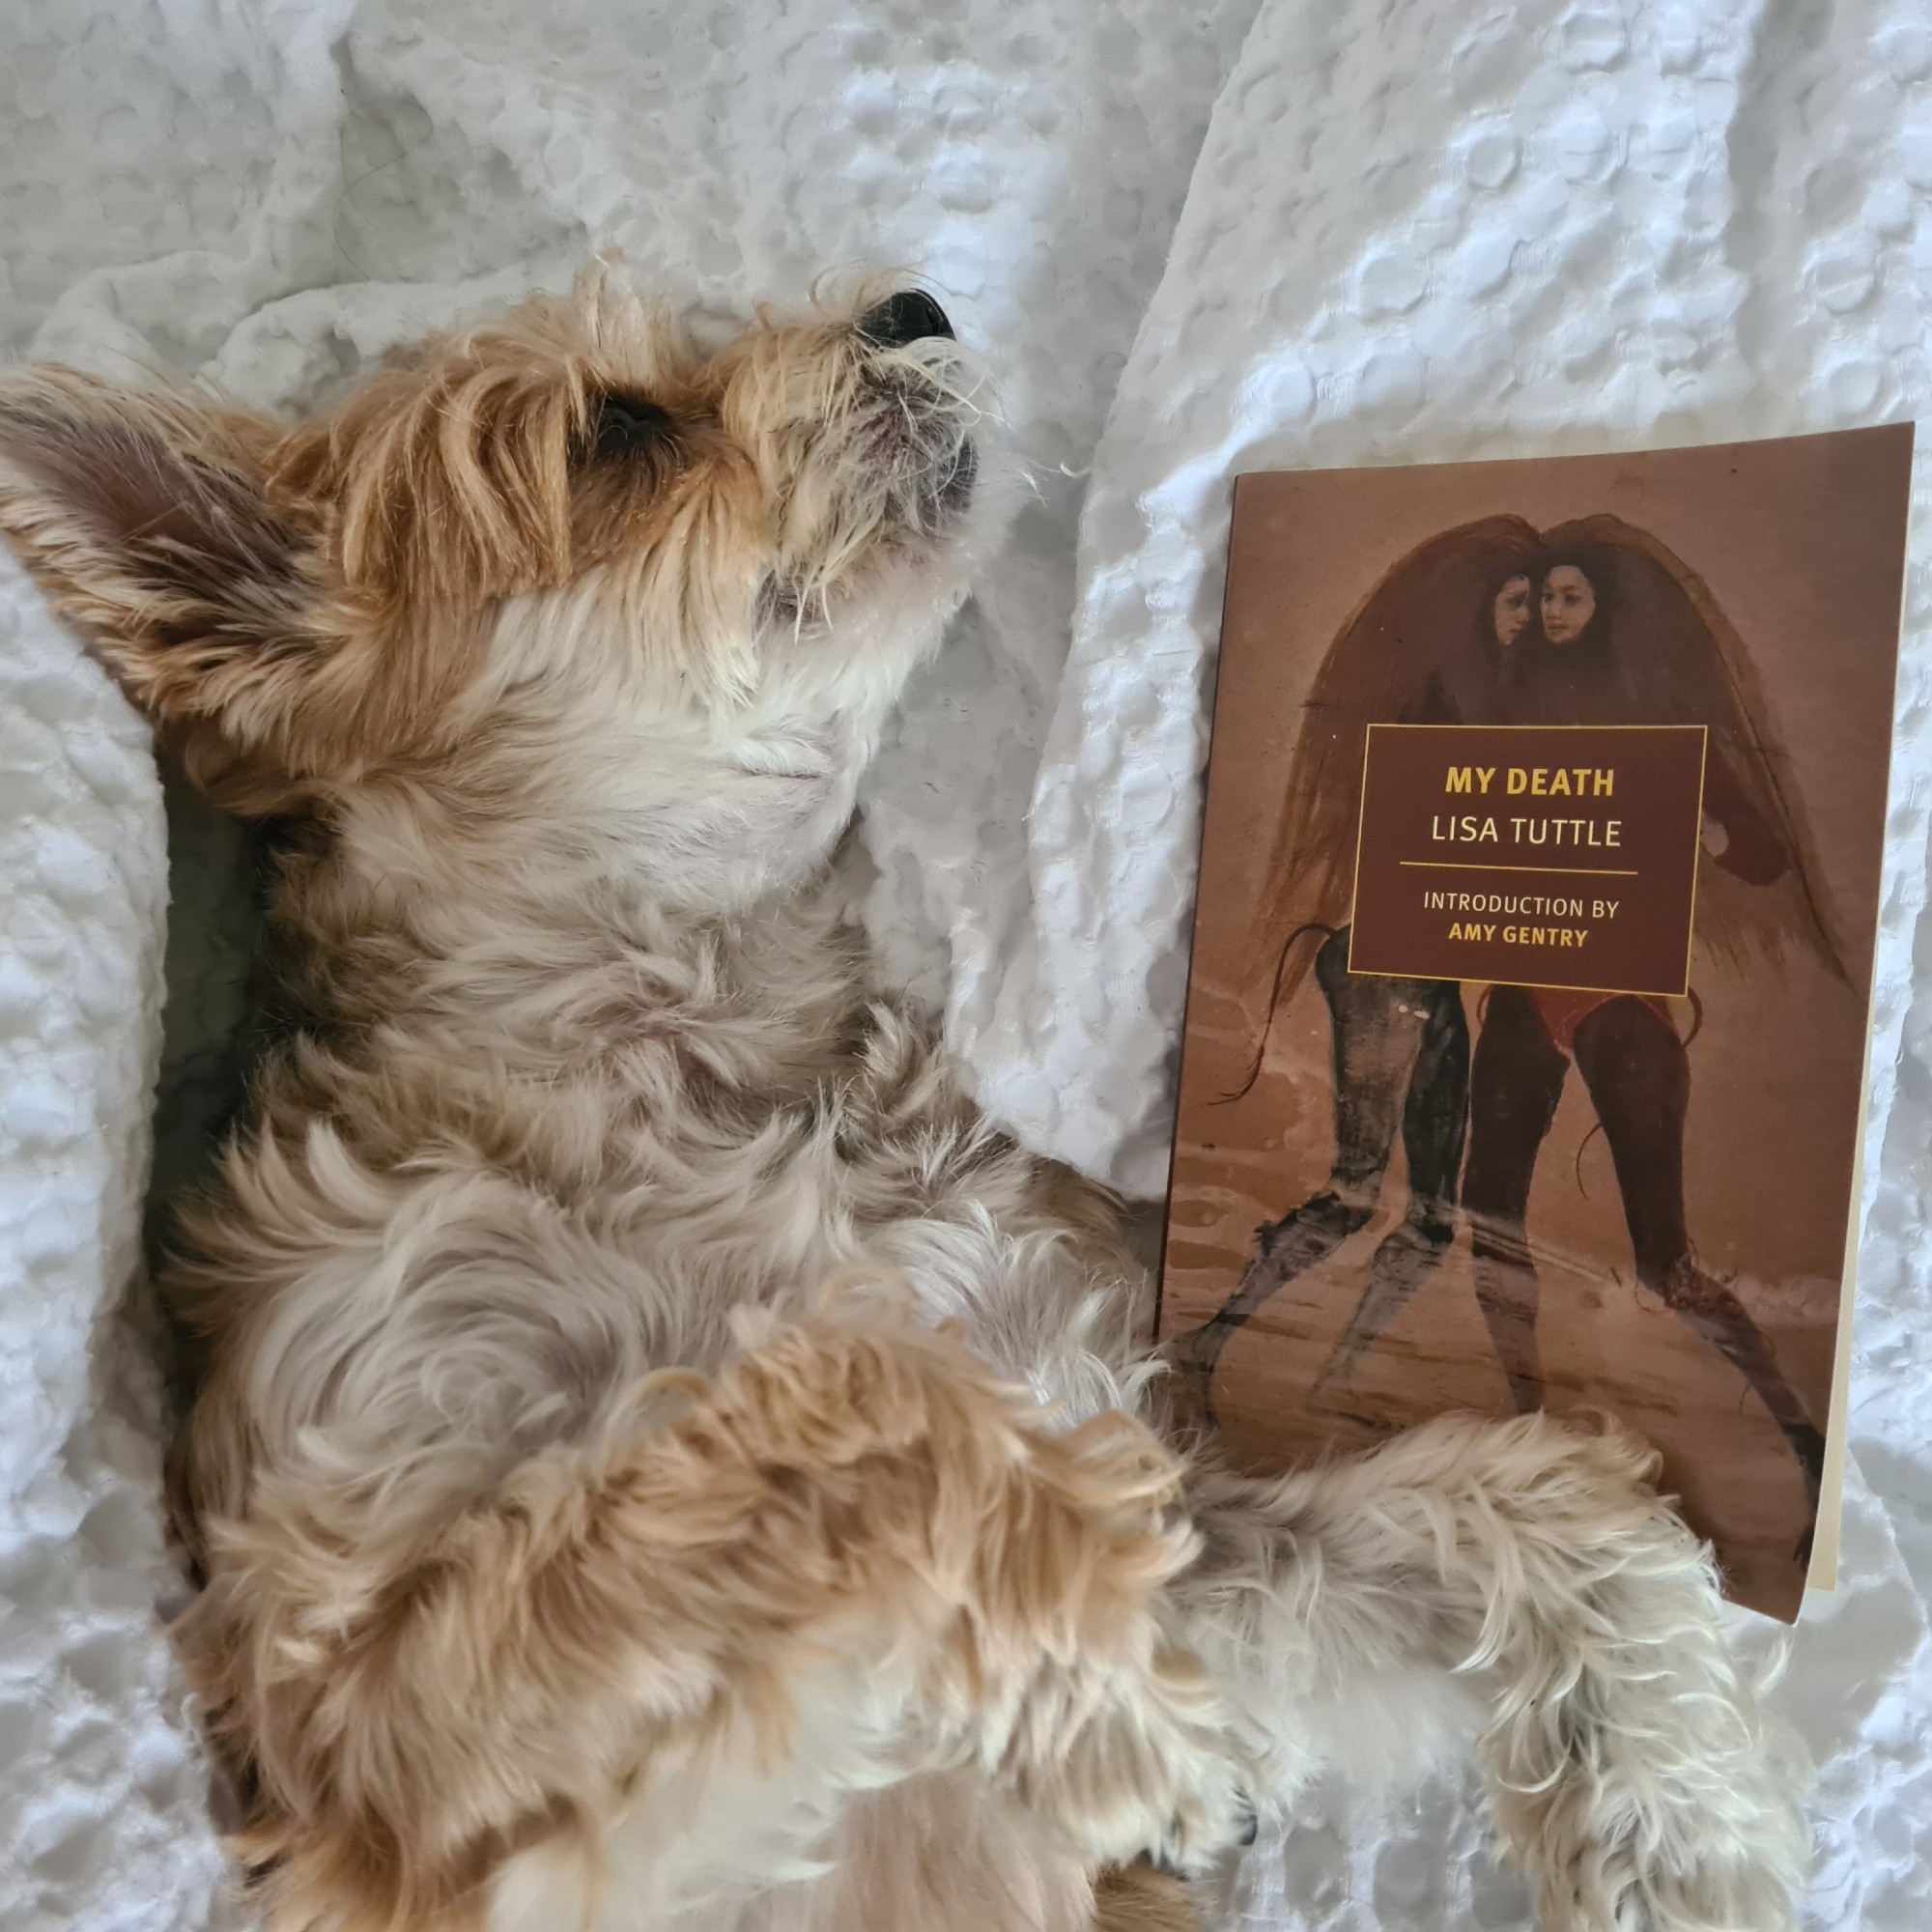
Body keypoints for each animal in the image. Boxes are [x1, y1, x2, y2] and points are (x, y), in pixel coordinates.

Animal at [0, 272, 1807, 1932]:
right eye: (616, 431)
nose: (912, 299)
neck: (718, 1068)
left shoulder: (1163, 1490)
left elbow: (1543, 1505)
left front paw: (1677, 1824)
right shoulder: (374, 1717)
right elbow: (869, 1396)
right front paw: (1129, 1706)